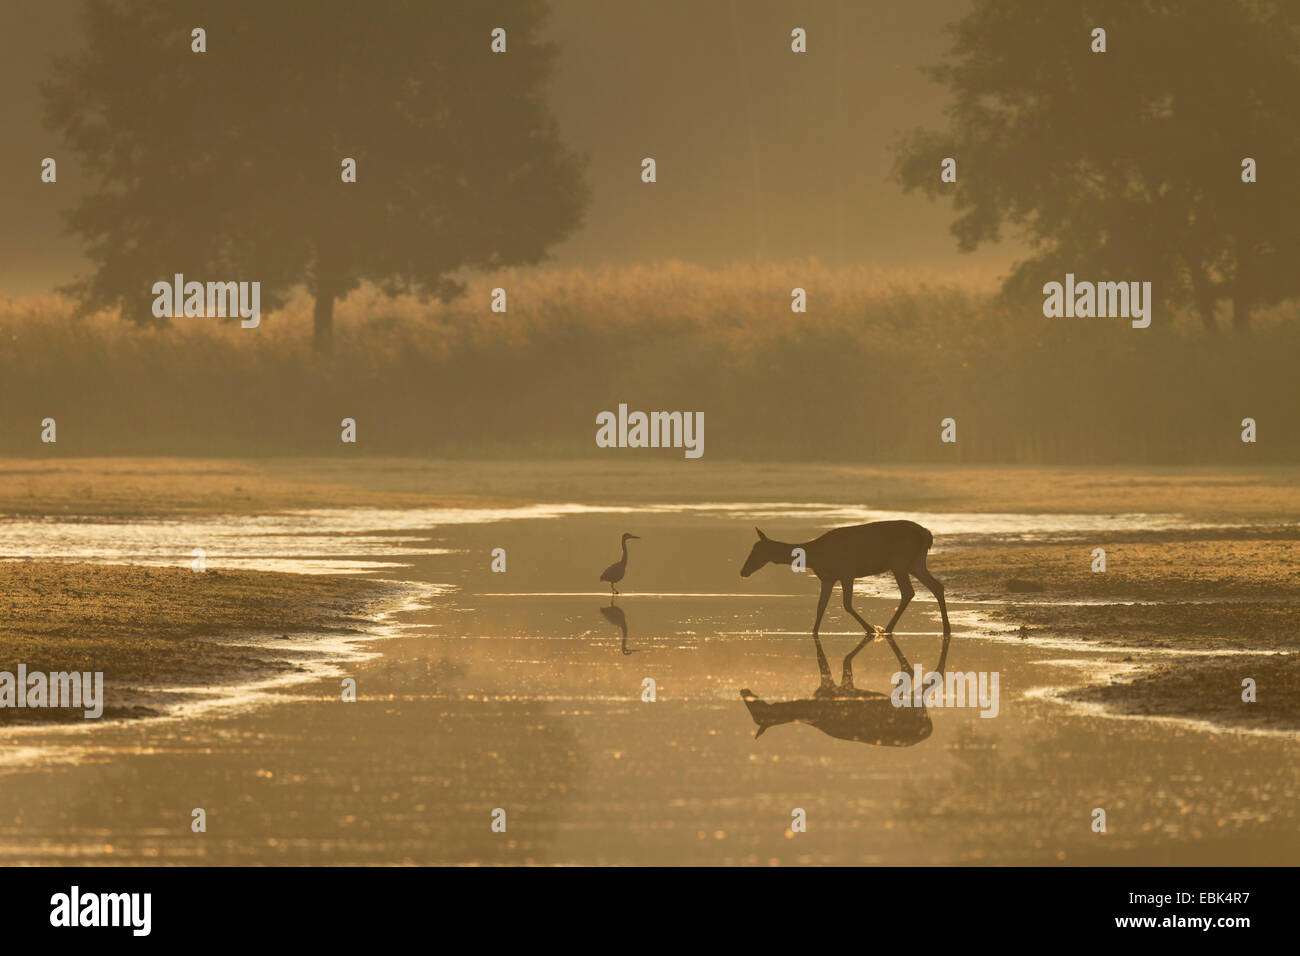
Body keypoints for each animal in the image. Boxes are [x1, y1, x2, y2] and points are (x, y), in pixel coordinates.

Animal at [748, 522, 951, 686]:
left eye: (756, 550)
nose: (743, 571)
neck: (813, 557)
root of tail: (928, 535)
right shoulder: (828, 579)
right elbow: (821, 607)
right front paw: (813, 632)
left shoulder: (846, 572)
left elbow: (846, 605)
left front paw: (871, 629)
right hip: (915, 563)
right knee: (937, 587)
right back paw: (945, 629)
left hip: (900, 562)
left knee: (909, 592)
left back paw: (887, 629)